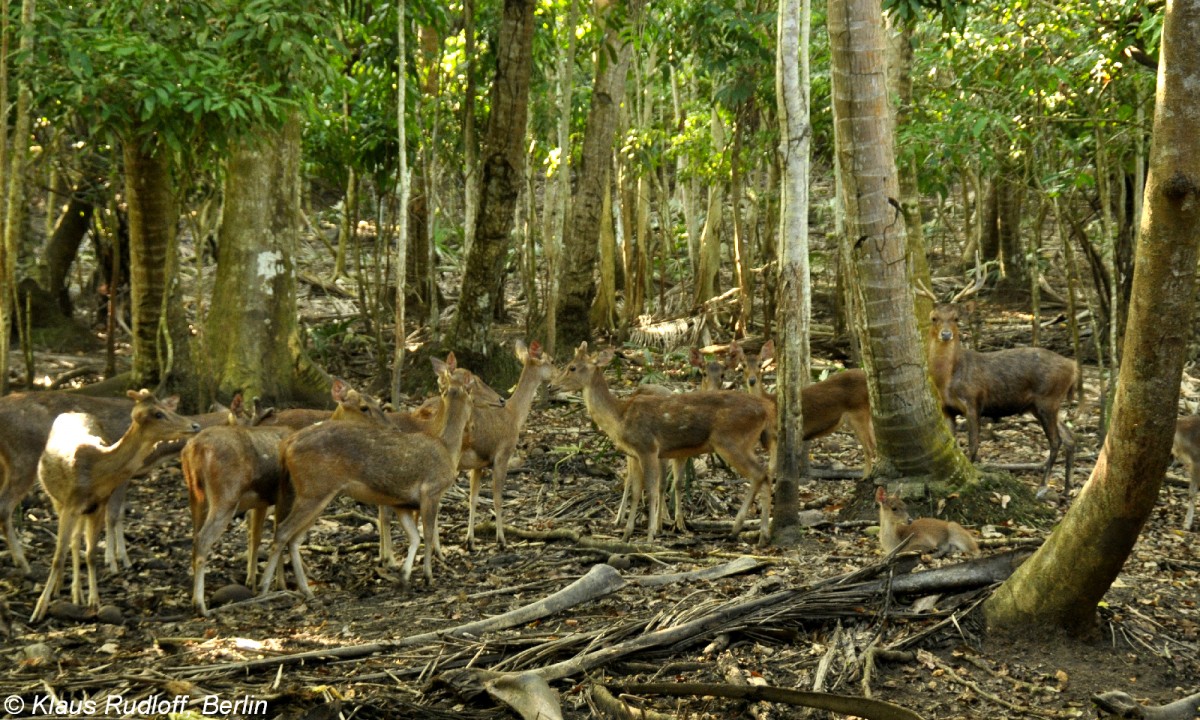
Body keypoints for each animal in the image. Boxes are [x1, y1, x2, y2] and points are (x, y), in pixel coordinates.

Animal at [28, 391, 199, 619]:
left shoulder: (98, 505)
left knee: (75, 540)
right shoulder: (69, 503)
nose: (195, 425)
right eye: (158, 413)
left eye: (168, 408)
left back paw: (76, 593)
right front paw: (39, 609)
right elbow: (58, 556)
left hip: (83, 511)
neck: (96, 472)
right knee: (67, 542)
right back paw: (60, 588)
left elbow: (91, 554)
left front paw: (94, 600)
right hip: (56, 498)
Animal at [258, 369, 472, 592]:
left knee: (293, 537)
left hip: (312, 493)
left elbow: (414, 536)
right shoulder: (431, 490)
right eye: (471, 393)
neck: (447, 448)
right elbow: (427, 535)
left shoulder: (402, 503)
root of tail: (287, 445)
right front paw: (428, 576)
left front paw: (403, 575)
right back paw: (265, 587)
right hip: (313, 489)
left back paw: (305, 590)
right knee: (283, 531)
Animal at [554, 343, 777, 544]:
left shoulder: (648, 447)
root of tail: (766, 409)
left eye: (572, 367)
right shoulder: (635, 454)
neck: (620, 417)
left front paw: (651, 535)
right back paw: (749, 531)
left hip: (731, 440)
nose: (552, 385)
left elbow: (652, 489)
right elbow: (637, 492)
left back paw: (756, 531)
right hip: (742, 442)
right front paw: (627, 534)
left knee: (760, 473)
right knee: (764, 474)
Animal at [921, 301, 1084, 492]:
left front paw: (972, 477)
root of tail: (1073, 367)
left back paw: (1043, 486)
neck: (946, 381)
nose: (946, 334)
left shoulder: (973, 401)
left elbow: (973, 444)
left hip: (1048, 398)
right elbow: (953, 444)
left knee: (1056, 440)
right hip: (1039, 406)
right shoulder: (946, 409)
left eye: (956, 318)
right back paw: (1067, 488)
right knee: (1070, 437)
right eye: (934, 318)